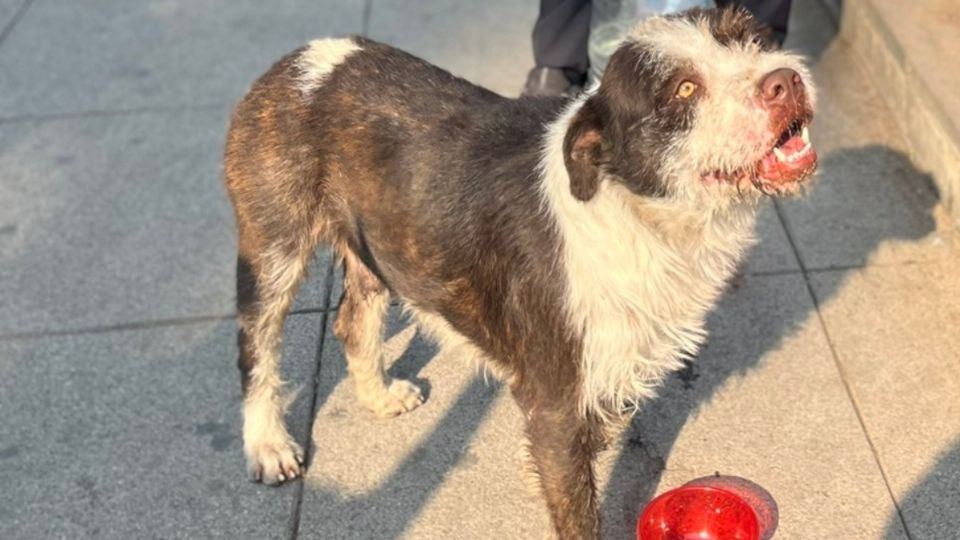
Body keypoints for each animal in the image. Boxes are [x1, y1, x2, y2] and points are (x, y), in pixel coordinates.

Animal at [223, 6, 816, 536]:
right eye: (685, 90)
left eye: (752, 38)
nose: (784, 81)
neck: (635, 211)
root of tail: (301, 57)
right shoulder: (555, 407)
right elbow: (577, 511)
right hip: (273, 246)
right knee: (256, 347)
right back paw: (268, 443)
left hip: (376, 238)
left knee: (352, 319)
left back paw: (378, 394)